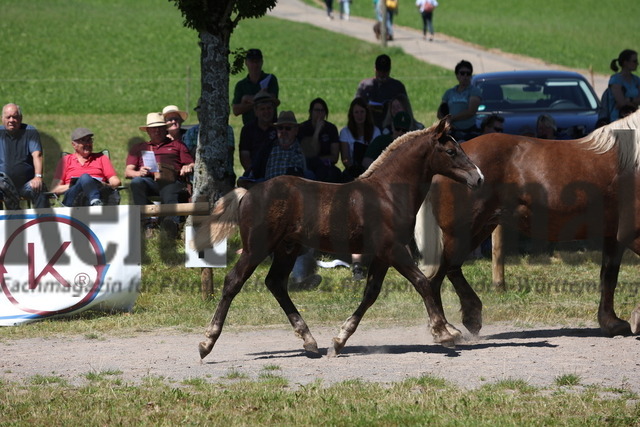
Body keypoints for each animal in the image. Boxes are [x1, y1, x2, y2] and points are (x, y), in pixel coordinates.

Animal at [195, 119, 484, 362]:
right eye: (451, 151)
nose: (478, 177)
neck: (387, 194)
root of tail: (247, 193)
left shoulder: (382, 254)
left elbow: (371, 293)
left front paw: (339, 340)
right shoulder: (395, 250)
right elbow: (422, 283)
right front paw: (444, 333)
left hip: (287, 248)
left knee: (275, 283)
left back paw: (310, 341)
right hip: (257, 248)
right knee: (233, 281)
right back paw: (207, 343)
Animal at [416, 108, 640, 346]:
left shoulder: (614, 235)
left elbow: (609, 276)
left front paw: (612, 323)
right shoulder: (631, 234)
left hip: (480, 228)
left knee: (450, 269)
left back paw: (469, 317)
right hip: (461, 232)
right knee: (435, 279)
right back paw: (445, 331)